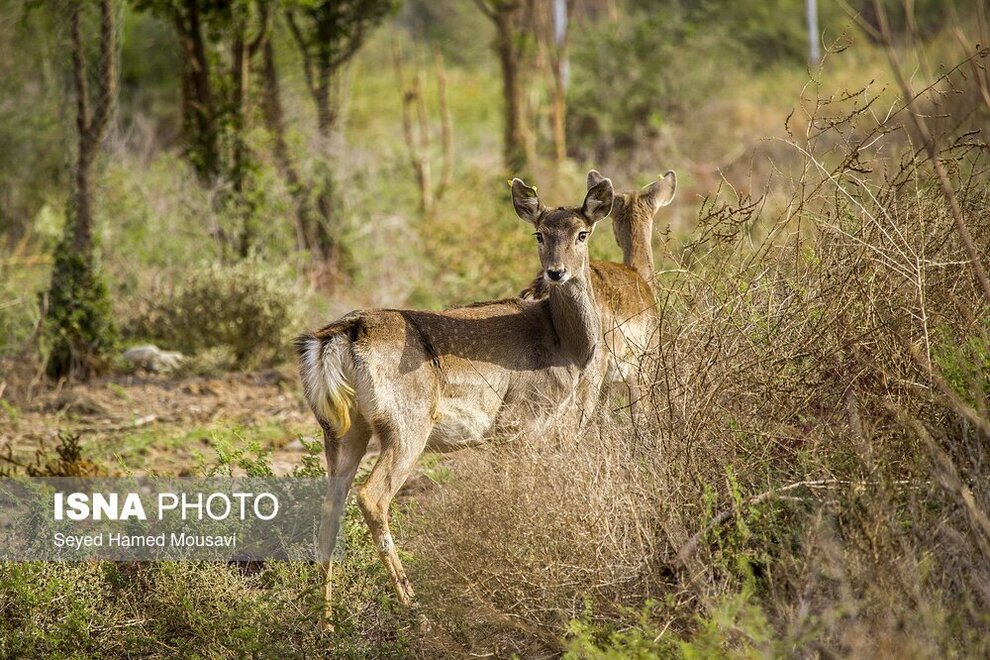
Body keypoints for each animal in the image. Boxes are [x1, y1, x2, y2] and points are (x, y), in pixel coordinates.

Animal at [298, 171, 616, 624]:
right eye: (539, 233)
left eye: (582, 233)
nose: (555, 272)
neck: (565, 345)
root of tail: (341, 334)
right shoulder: (523, 420)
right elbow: (520, 496)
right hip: (406, 424)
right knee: (372, 497)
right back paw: (414, 608)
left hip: (340, 428)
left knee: (329, 507)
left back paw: (325, 621)